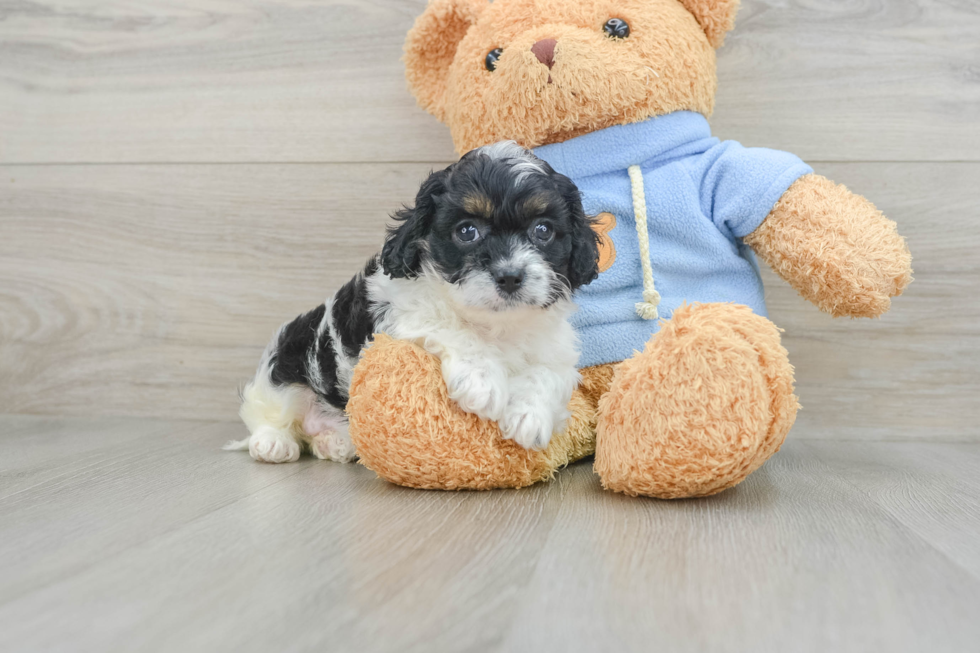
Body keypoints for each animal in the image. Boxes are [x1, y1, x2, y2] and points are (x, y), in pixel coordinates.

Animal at [226, 144, 600, 464]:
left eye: (543, 230)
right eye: (467, 231)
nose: (509, 276)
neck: (497, 325)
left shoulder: (555, 345)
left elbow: (549, 372)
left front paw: (529, 415)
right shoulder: (402, 311)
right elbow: (452, 327)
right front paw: (483, 381)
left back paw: (334, 442)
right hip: (287, 357)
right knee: (268, 409)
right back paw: (273, 443)